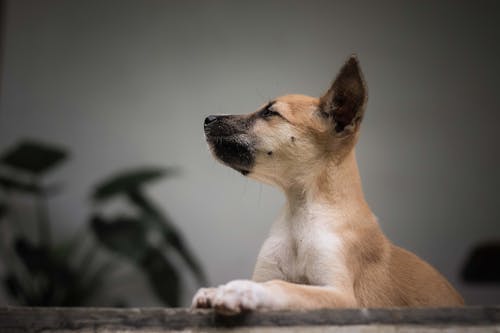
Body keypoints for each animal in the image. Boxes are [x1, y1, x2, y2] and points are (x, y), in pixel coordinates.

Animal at [192, 55, 464, 314]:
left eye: (270, 112)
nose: (207, 119)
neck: (300, 215)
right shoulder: (268, 270)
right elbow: (274, 281)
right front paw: (219, 289)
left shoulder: (341, 296)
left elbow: (283, 287)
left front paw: (238, 290)